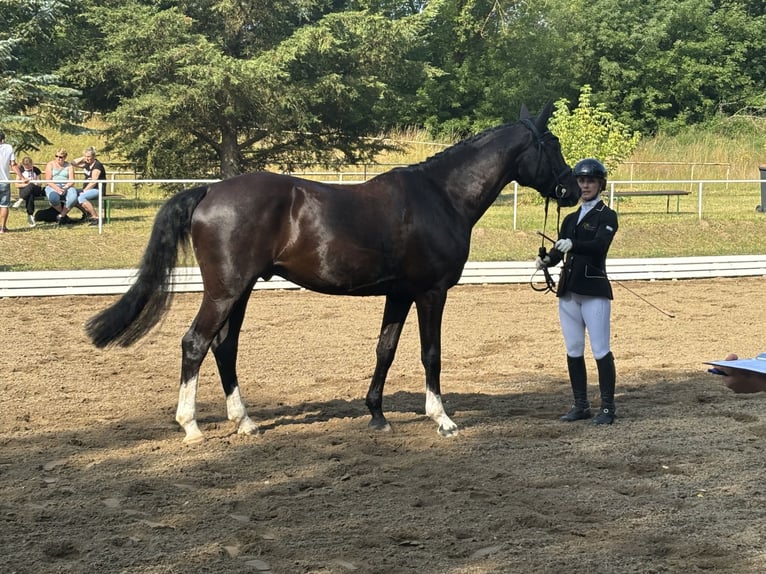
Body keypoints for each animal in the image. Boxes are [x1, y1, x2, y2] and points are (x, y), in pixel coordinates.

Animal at [87, 102, 580, 446]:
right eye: (553, 144)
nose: (574, 189)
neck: (441, 195)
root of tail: (209, 191)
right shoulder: (431, 292)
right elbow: (431, 354)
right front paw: (442, 418)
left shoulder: (399, 293)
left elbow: (385, 350)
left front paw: (377, 415)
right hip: (225, 291)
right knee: (196, 343)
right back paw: (191, 426)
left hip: (240, 292)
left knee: (224, 347)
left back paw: (245, 422)